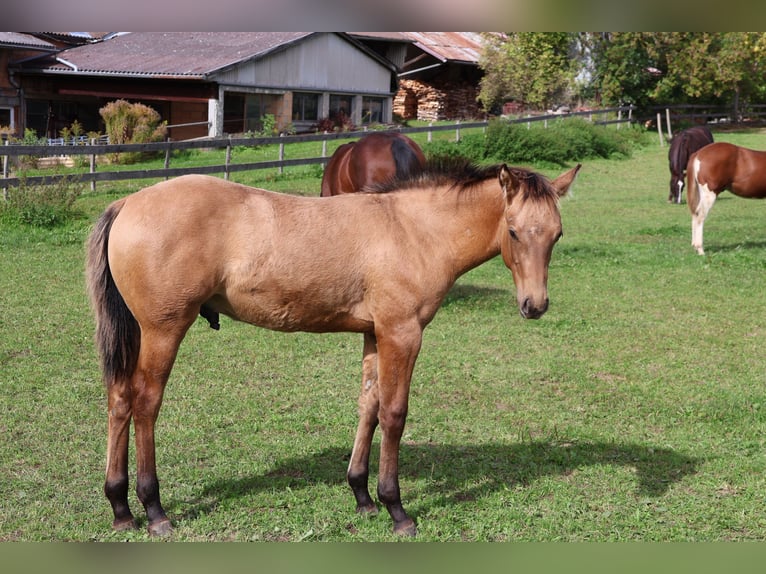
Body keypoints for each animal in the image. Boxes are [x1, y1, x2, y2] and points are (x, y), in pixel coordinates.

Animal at [85, 159, 580, 537]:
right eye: (513, 232)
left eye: (556, 235)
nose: (535, 306)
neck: (413, 231)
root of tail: (127, 202)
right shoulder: (403, 333)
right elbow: (394, 413)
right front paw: (396, 508)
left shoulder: (375, 333)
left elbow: (369, 405)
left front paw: (362, 494)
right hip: (163, 329)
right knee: (146, 403)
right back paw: (154, 510)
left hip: (138, 333)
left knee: (119, 399)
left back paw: (120, 508)